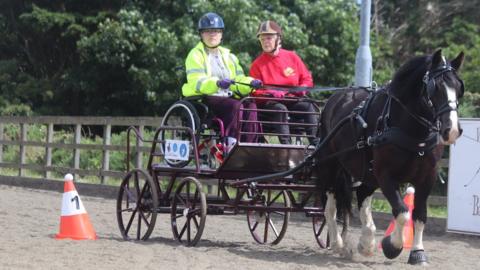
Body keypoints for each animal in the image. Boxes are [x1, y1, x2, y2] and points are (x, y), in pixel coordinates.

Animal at [316, 49, 464, 264]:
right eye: (434, 88)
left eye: (459, 88)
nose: (451, 130)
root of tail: (336, 98)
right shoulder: (386, 175)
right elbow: (402, 212)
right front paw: (392, 246)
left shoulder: (427, 177)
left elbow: (420, 215)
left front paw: (417, 252)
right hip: (330, 166)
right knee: (331, 206)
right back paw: (338, 243)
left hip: (367, 173)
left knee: (362, 197)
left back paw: (366, 243)